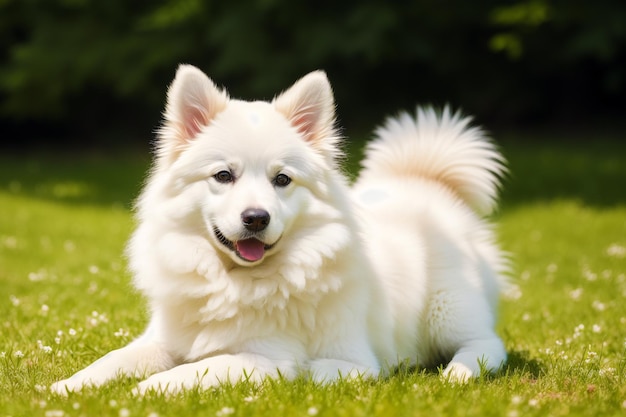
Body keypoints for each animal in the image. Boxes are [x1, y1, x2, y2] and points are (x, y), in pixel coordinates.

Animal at [50, 65, 508, 394]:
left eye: (282, 179)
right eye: (223, 175)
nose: (256, 217)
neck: (233, 281)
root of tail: (427, 181)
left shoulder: (269, 358)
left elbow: (202, 368)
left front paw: (145, 390)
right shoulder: (163, 339)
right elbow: (114, 359)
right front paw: (68, 387)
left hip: (448, 310)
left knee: (487, 345)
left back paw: (458, 373)